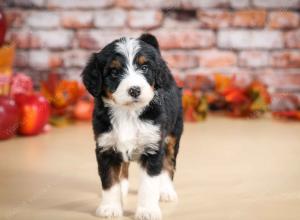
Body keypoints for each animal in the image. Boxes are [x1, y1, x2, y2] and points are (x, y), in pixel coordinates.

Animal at [82, 33, 185, 219]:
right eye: (114, 72)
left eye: (144, 68)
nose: (135, 90)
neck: (128, 113)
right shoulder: (106, 147)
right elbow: (110, 180)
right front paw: (110, 207)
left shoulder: (153, 147)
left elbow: (149, 185)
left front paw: (148, 210)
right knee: (124, 166)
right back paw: (123, 190)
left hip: (173, 135)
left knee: (169, 163)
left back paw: (166, 191)